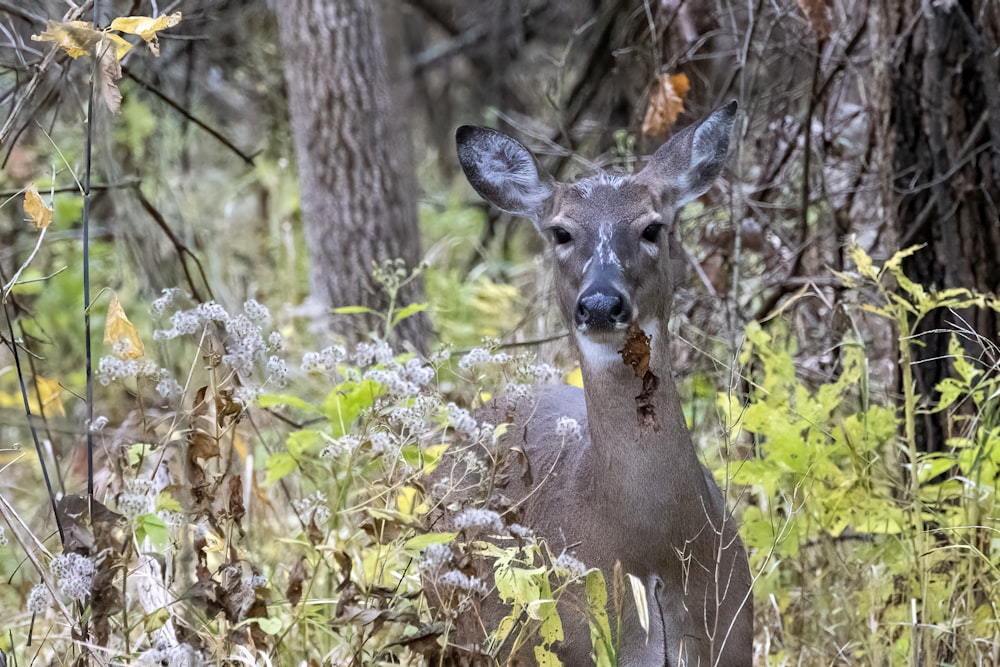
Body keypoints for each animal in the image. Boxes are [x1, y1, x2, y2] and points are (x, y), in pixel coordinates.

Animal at [434, 102, 752, 664]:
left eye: (652, 227)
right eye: (560, 232)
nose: (601, 303)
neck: (652, 552)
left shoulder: (734, 637)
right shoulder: (564, 646)